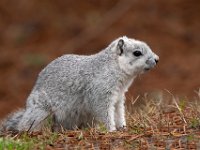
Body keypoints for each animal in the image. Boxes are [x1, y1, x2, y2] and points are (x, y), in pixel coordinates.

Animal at [0, 36, 159, 132]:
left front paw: (123, 127)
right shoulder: (101, 93)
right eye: (137, 53)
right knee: (27, 124)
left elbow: (119, 113)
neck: (113, 67)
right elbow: (104, 113)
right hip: (41, 111)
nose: (157, 59)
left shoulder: (119, 98)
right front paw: (111, 130)